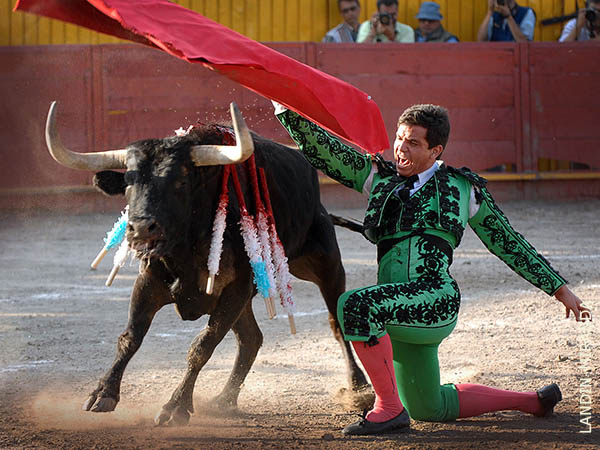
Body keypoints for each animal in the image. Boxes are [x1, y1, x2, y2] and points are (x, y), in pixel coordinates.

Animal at [44, 101, 369, 426]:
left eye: (179, 181)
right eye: (127, 183)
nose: (140, 228)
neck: (185, 251)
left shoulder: (236, 288)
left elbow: (202, 346)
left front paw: (175, 407)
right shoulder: (149, 281)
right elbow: (130, 338)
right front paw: (103, 394)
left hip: (324, 263)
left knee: (336, 322)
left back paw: (359, 388)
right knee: (251, 339)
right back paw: (224, 400)